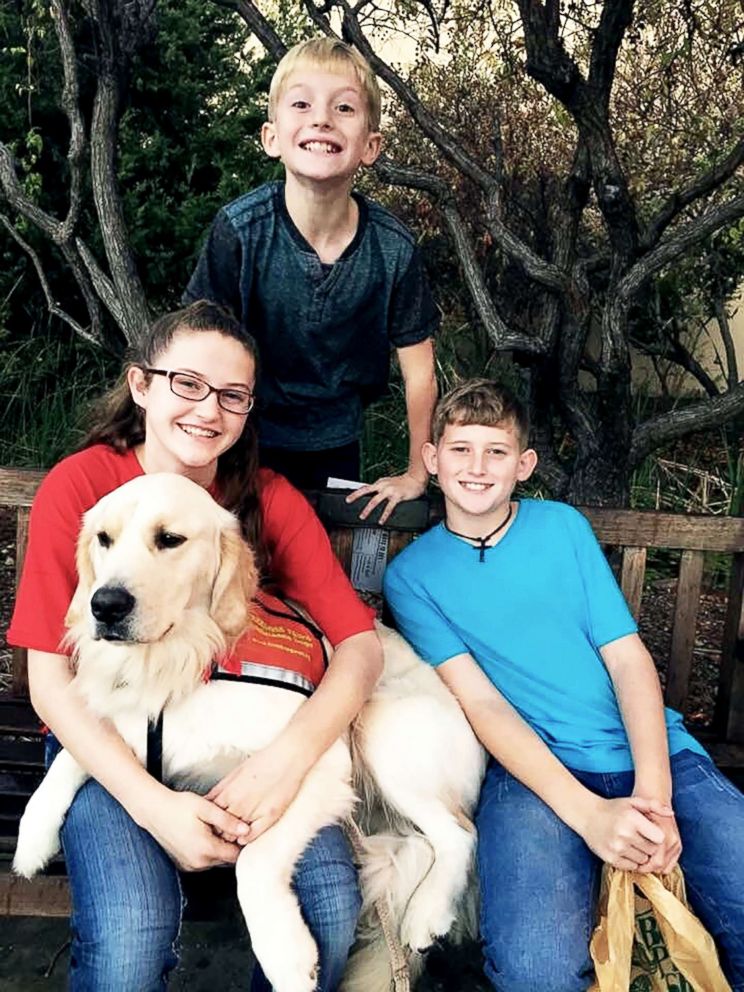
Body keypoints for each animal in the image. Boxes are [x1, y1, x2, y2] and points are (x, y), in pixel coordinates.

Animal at [16, 472, 488, 992]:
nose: (105, 605)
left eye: (170, 539)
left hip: (379, 728)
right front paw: (32, 836)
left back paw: (427, 914)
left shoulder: (320, 764)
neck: (184, 659)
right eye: (104, 538)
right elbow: (71, 755)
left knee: (460, 834)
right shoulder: (128, 722)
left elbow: (254, 859)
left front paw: (285, 953)